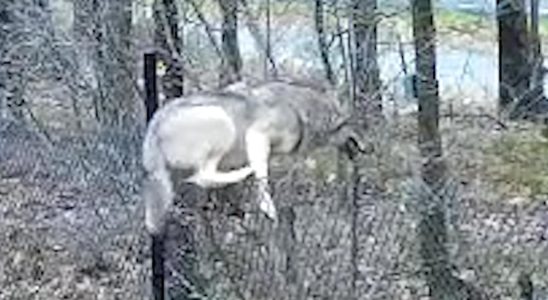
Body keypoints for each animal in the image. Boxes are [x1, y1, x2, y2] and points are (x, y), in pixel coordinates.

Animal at [141, 79, 358, 234]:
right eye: (352, 125)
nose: (363, 148)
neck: (298, 110)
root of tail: (153, 126)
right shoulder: (257, 135)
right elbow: (262, 177)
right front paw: (268, 207)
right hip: (221, 121)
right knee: (203, 176)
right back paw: (242, 172)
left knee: (200, 179)